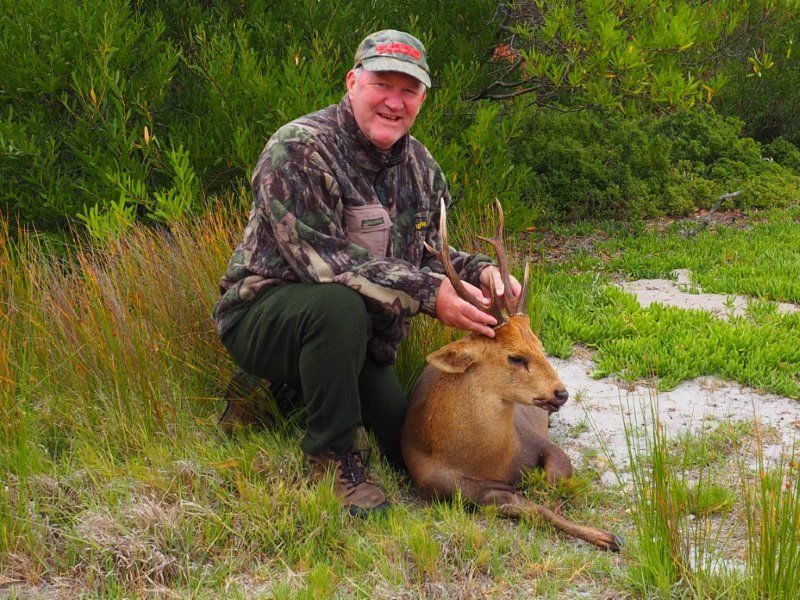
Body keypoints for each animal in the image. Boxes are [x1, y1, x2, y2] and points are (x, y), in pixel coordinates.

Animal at [401, 200, 622, 552]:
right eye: (515, 357)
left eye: (540, 345)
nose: (561, 393)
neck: (489, 459)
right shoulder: (451, 487)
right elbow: (531, 508)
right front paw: (607, 536)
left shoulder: (539, 442)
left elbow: (555, 481)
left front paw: (607, 536)